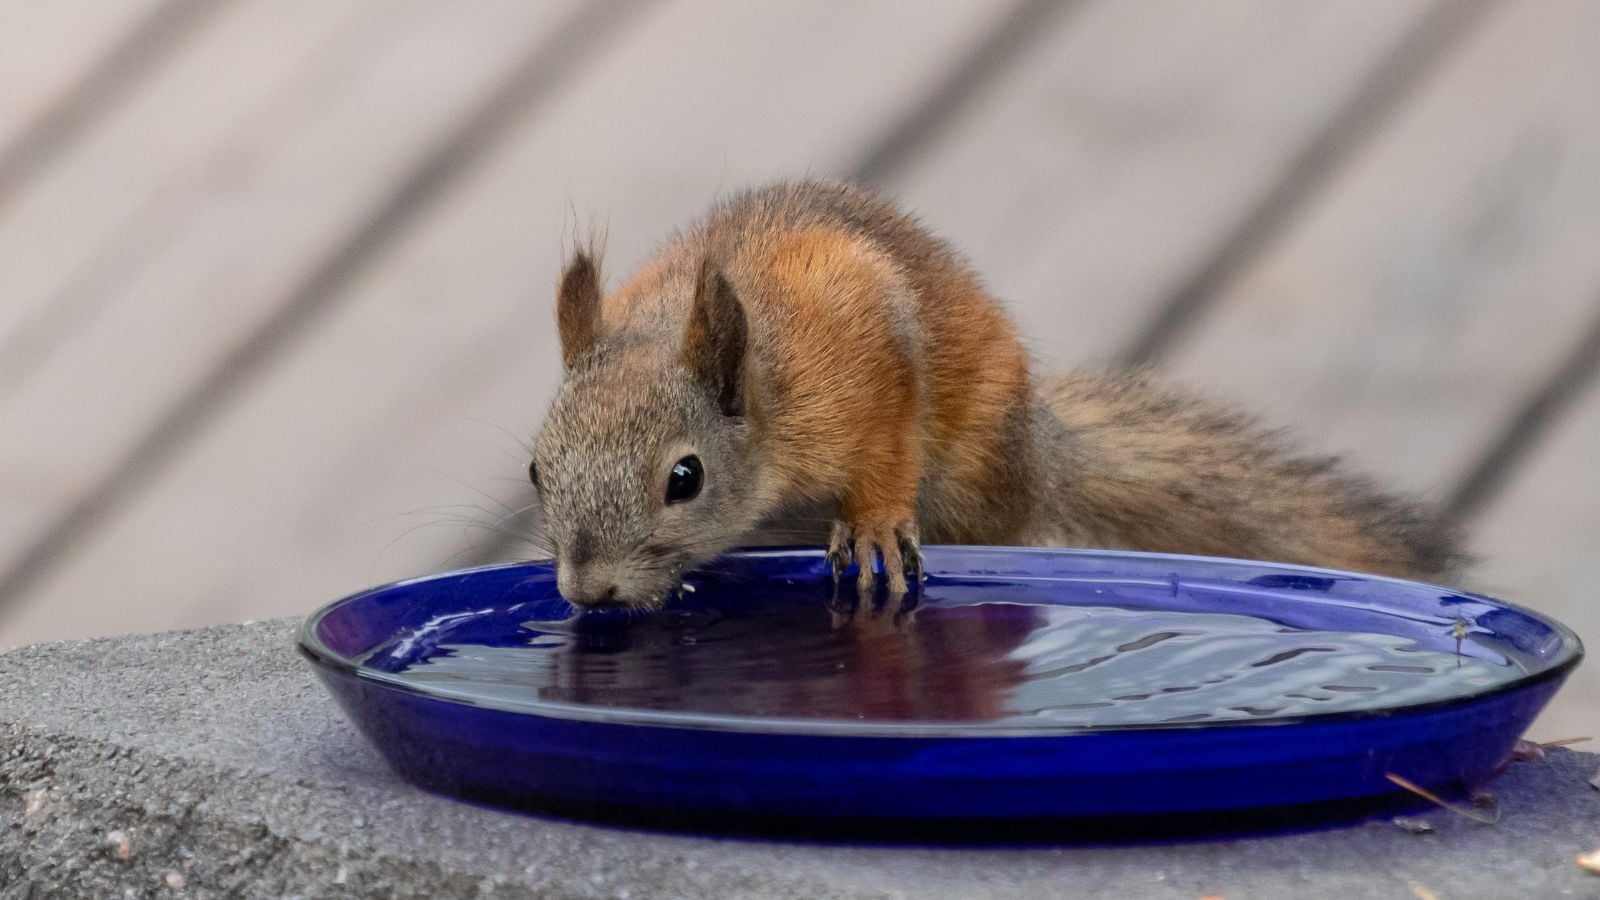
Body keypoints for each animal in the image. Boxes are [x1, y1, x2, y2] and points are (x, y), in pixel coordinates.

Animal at [529, 179, 1465, 608]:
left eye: (683, 479)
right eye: (538, 471)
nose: (588, 592)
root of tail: (1039, 452)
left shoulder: (865, 343)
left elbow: (889, 437)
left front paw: (874, 524)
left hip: (980, 476)